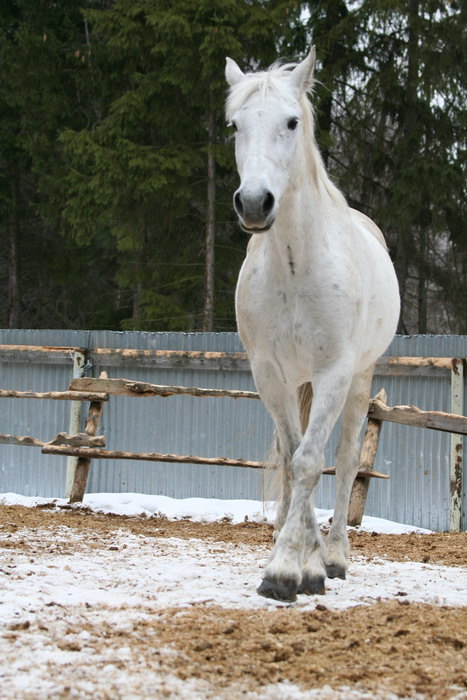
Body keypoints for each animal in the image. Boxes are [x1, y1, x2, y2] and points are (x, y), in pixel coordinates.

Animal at [227, 49, 402, 600]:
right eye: (234, 125)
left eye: (291, 121)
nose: (254, 203)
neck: (294, 266)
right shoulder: (269, 374)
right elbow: (290, 459)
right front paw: (295, 563)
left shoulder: (335, 373)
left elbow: (311, 461)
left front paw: (290, 570)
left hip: (359, 383)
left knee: (343, 463)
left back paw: (336, 558)